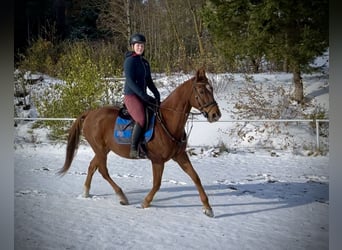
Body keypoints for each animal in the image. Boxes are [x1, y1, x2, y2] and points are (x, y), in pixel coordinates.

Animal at [58, 67, 222, 217]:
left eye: (212, 89)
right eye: (201, 91)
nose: (216, 114)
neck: (167, 122)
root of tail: (90, 113)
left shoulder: (180, 156)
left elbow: (196, 177)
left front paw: (208, 208)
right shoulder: (157, 160)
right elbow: (157, 184)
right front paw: (145, 203)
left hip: (103, 150)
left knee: (93, 166)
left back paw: (86, 192)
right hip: (100, 149)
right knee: (103, 171)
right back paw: (121, 196)